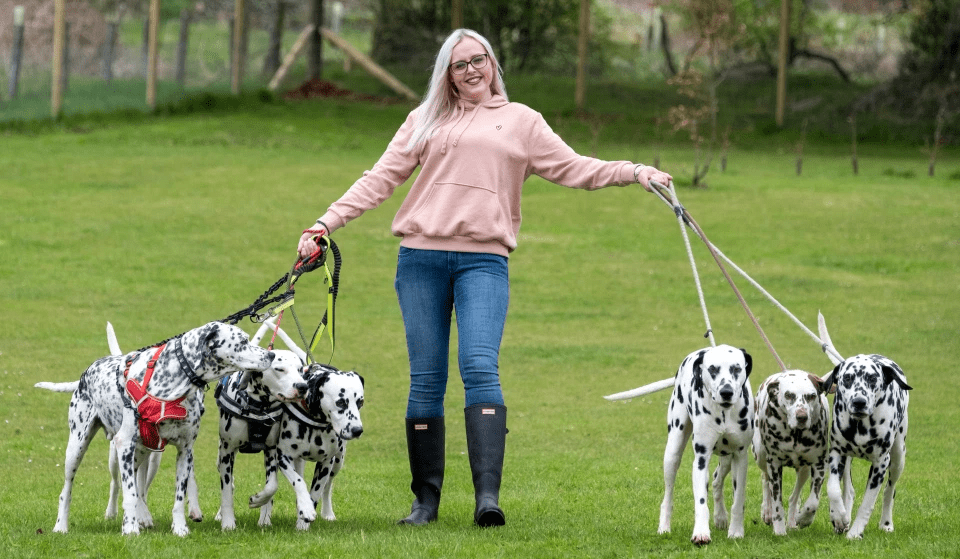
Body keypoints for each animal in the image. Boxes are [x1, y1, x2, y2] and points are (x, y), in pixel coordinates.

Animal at [33, 322, 280, 536]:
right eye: (243, 341)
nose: (270, 355)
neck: (173, 381)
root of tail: (86, 373)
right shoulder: (124, 445)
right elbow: (129, 494)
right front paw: (130, 528)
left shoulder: (185, 451)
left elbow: (178, 496)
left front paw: (179, 528)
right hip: (77, 448)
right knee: (68, 491)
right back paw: (61, 526)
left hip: (144, 455)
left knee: (141, 488)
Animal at [248, 366, 364, 532]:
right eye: (341, 402)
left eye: (360, 402)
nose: (357, 430)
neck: (314, 421)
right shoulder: (283, 457)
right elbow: (298, 482)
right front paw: (305, 510)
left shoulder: (326, 463)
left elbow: (315, 493)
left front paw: (304, 522)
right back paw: (265, 517)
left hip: (338, 462)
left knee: (327, 488)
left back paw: (326, 513)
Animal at [604, 344, 752, 544]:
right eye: (712, 369)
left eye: (736, 369)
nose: (726, 392)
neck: (723, 413)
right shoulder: (701, 459)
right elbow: (701, 502)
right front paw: (701, 533)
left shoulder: (740, 457)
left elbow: (738, 500)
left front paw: (736, 531)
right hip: (672, 454)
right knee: (668, 496)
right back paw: (664, 527)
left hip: (727, 459)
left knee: (716, 480)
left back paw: (721, 516)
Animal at [752, 370, 828, 536]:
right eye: (788, 395)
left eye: (811, 396)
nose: (802, 417)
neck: (795, 435)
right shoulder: (774, 466)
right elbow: (777, 503)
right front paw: (779, 529)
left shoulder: (818, 464)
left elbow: (813, 502)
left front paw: (804, 519)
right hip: (760, 455)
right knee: (765, 480)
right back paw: (767, 512)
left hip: (804, 470)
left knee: (794, 497)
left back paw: (793, 520)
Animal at [820, 316, 912, 540]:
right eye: (847, 378)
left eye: (872, 378)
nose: (859, 402)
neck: (861, 426)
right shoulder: (836, 453)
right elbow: (833, 489)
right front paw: (839, 516)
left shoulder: (880, 464)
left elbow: (867, 503)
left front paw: (855, 532)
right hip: (847, 459)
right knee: (848, 491)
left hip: (898, 457)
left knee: (889, 491)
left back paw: (886, 523)